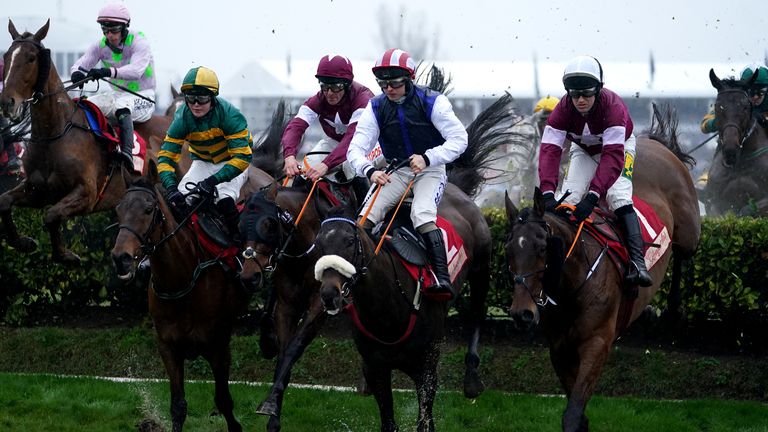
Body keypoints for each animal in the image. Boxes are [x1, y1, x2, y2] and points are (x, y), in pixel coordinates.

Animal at [0, 19, 174, 264]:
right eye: (7, 56)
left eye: (31, 58)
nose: (7, 103)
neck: (55, 134)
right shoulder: (38, 190)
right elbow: (4, 201)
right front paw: (23, 242)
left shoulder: (87, 194)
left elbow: (51, 215)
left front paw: (66, 255)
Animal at [109, 159, 272, 432]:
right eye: (119, 209)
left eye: (149, 209)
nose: (121, 258)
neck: (182, 281)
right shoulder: (168, 346)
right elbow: (178, 406)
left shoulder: (218, 346)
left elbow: (223, 400)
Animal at [504, 108, 704, 432]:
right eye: (509, 249)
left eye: (544, 248)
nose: (522, 313)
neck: (572, 286)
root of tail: (656, 143)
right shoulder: (559, 348)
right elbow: (576, 409)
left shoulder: (597, 343)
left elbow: (573, 413)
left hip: (687, 230)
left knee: (683, 253)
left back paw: (671, 311)